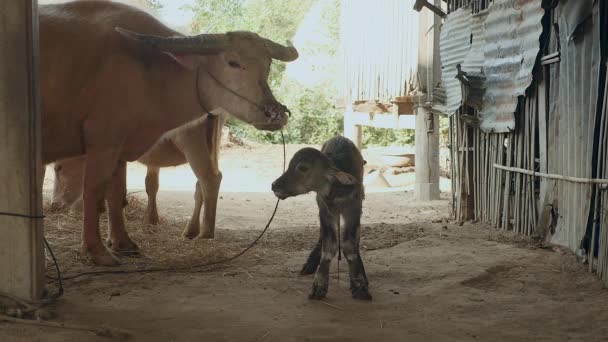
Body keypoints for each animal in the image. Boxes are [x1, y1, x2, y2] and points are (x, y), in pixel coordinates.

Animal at [39, 0, 296, 268]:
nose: (275, 113)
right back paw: (198, 231)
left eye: (268, 65)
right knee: (205, 180)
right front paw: (110, 246)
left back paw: (201, 232)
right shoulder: (108, 140)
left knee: (208, 178)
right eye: (232, 62)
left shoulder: (112, 141)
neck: (147, 71)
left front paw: (106, 247)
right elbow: (106, 191)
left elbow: (106, 191)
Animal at [272, 136, 370, 300]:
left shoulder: (354, 210)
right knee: (321, 237)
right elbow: (329, 246)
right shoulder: (325, 211)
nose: (274, 185)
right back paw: (310, 264)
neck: (337, 191)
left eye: (302, 167)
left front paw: (360, 285)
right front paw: (319, 286)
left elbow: (350, 245)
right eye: (290, 164)